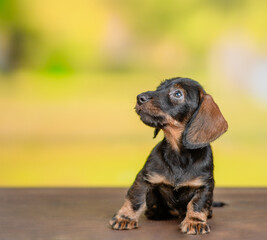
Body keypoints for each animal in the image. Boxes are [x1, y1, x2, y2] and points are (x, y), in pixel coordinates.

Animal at [109, 78, 228, 235]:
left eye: (177, 94)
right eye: (158, 87)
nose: (140, 97)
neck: (178, 155)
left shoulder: (204, 184)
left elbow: (197, 204)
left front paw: (195, 221)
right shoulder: (144, 177)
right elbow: (135, 199)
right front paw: (125, 218)